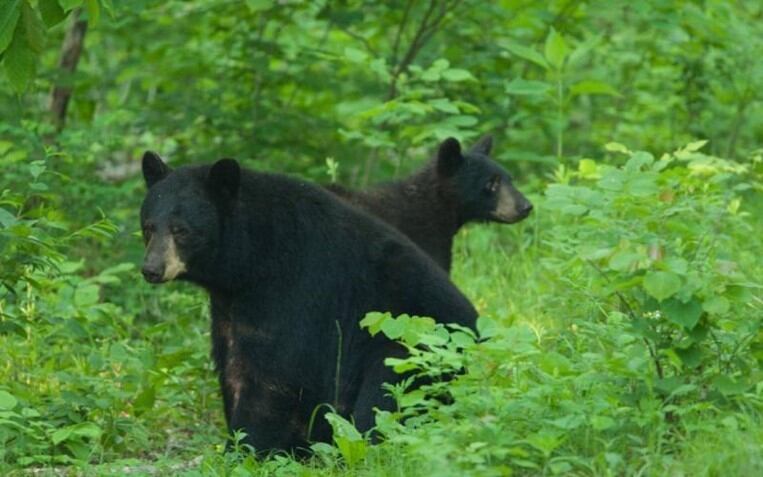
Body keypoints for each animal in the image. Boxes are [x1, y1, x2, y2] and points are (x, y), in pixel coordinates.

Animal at [139, 152, 478, 456]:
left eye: (181, 230)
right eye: (148, 226)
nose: (151, 269)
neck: (251, 259)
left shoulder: (294, 288)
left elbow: (274, 373)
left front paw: (243, 450)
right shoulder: (229, 307)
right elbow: (231, 365)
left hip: (419, 346)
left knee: (385, 391)